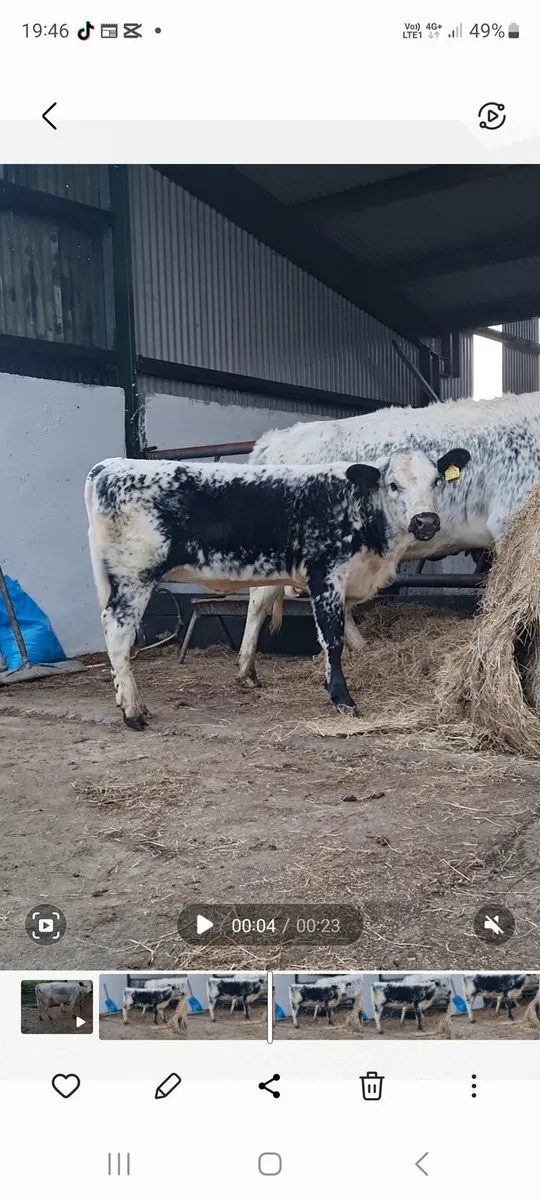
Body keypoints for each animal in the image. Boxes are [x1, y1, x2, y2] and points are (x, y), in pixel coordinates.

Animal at [85, 448, 469, 728]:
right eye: (393, 485)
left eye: (436, 480)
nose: (425, 521)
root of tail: (109, 465)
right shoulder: (325, 574)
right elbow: (331, 638)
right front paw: (342, 699)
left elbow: (259, 614)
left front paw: (250, 675)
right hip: (134, 575)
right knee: (117, 632)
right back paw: (133, 712)